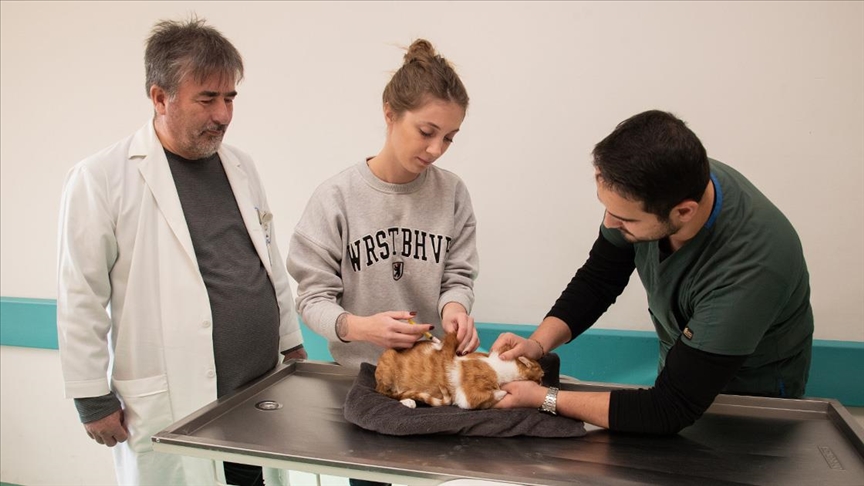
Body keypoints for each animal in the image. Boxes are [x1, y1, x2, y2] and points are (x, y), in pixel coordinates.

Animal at [374, 330, 544, 410]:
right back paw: (408, 401)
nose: (543, 383)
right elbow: (491, 394)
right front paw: (501, 392)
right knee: (389, 394)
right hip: (388, 375)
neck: (494, 364)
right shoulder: (466, 397)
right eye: (541, 377)